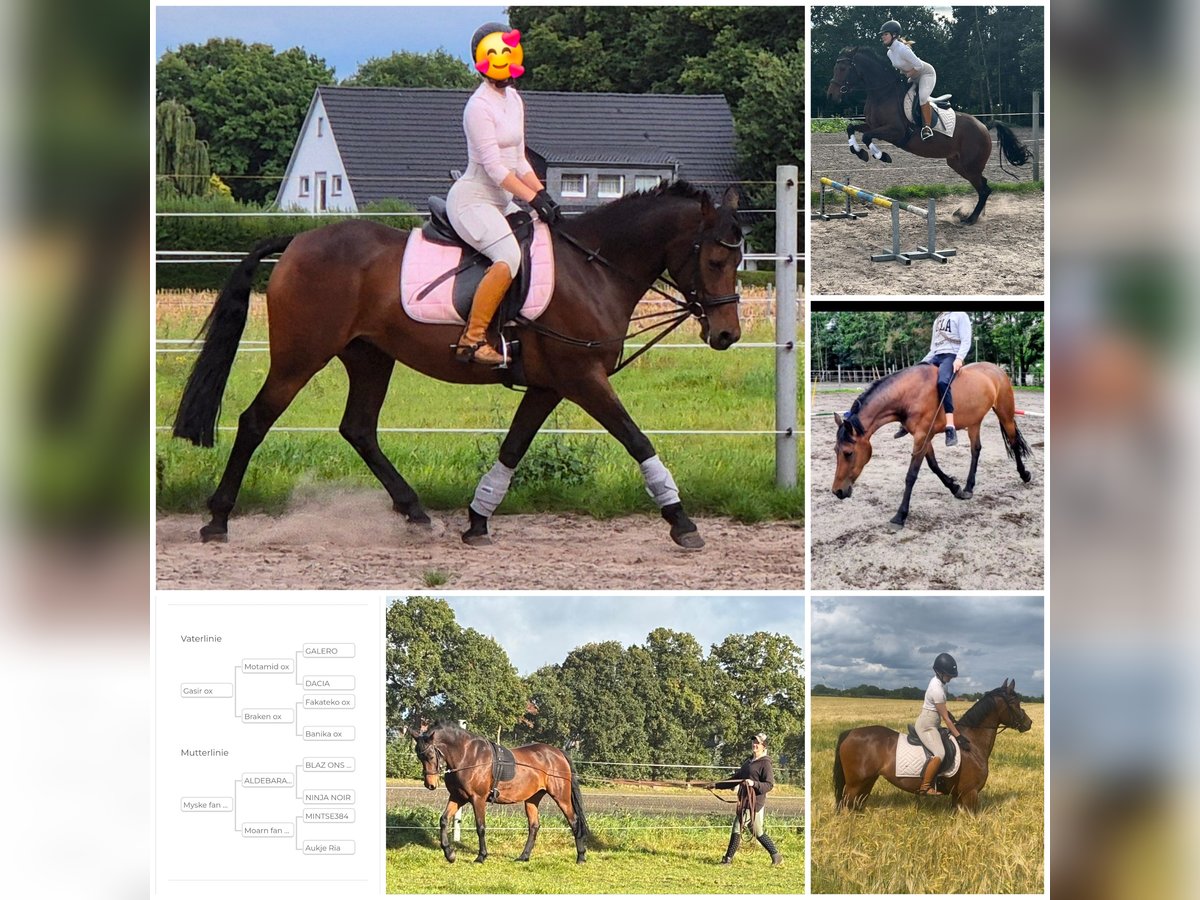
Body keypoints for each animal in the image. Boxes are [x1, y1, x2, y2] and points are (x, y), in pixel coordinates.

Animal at [171, 181, 743, 549]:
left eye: (739, 260)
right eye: (716, 259)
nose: (726, 335)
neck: (594, 269)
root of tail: (299, 240)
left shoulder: (549, 386)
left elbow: (513, 448)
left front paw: (477, 522)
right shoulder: (582, 378)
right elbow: (637, 440)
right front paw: (681, 522)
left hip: (370, 357)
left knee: (359, 429)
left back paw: (416, 512)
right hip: (300, 356)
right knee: (254, 421)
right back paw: (218, 520)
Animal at [410, 723, 589, 864]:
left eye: (430, 755)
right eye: (419, 756)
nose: (430, 784)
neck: (467, 756)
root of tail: (558, 753)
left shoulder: (478, 799)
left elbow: (480, 827)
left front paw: (481, 856)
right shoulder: (457, 797)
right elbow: (444, 820)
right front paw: (449, 854)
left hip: (561, 796)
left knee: (574, 821)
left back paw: (580, 857)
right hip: (532, 799)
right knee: (534, 826)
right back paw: (523, 857)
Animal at [826, 46, 1032, 224]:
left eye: (843, 68)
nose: (830, 96)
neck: (882, 94)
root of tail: (984, 126)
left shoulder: (895, 131)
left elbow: (867, 137)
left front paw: (882, 156)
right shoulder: (871, 125)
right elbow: (851, 128)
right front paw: (859, 152)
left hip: (970, 165)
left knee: (984, 189)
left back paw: (970, 219)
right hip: (958, 164)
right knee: (983, 185)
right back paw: (972, 214)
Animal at [832, 362, 1033, 531]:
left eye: (848, 453)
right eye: (835, 451)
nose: (837, 491)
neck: (909, 394)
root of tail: (998, 370)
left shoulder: (922, 436)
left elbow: (911, 475)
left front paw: (900, 516)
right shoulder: (923, 437)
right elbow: (934, 465)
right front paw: (956, 488)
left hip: (1005, 413)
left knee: (1013, 442)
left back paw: (1024, 475)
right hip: (974, 422)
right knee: (976, 449)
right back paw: (969, 487)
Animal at [833, 679, 1033, 813]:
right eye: (1015, 702)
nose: (1028, 723)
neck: (972, 743)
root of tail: (850, 732)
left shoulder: (958, 796)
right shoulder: (970, 793)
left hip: (867, 782)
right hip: (854, 785)